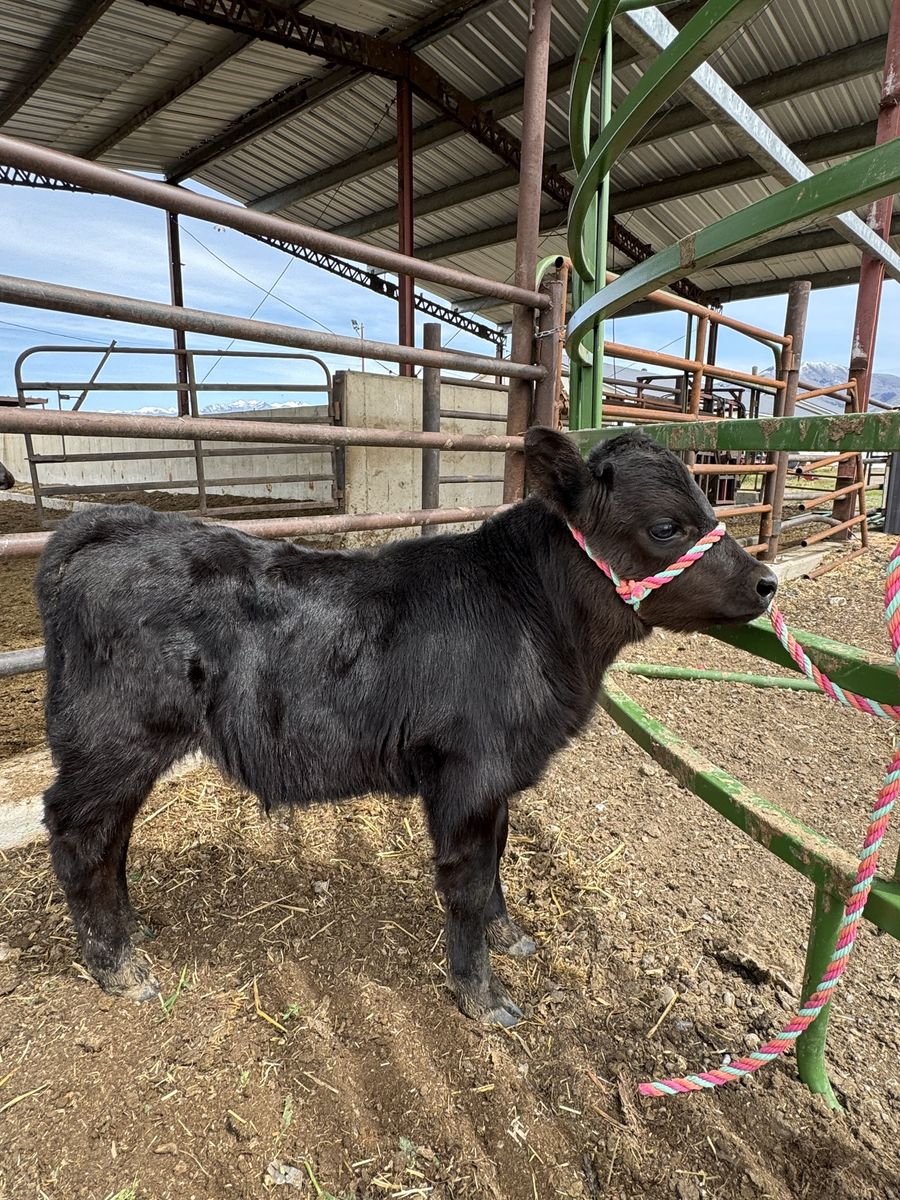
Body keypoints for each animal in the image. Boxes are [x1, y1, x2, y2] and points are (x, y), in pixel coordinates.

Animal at [35, 428, 777, 1025]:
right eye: (665, 527)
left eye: (710, 503)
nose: (767, 582)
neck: (534, 619)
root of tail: (112, 525)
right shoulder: (467, 774)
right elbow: (467, 882)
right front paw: (482, 995)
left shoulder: (496, 778)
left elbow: (496, 857)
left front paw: (509, 935)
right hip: (114, 740)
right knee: (78, 834)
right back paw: (118, 967)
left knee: (112, 836)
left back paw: (133, 930)